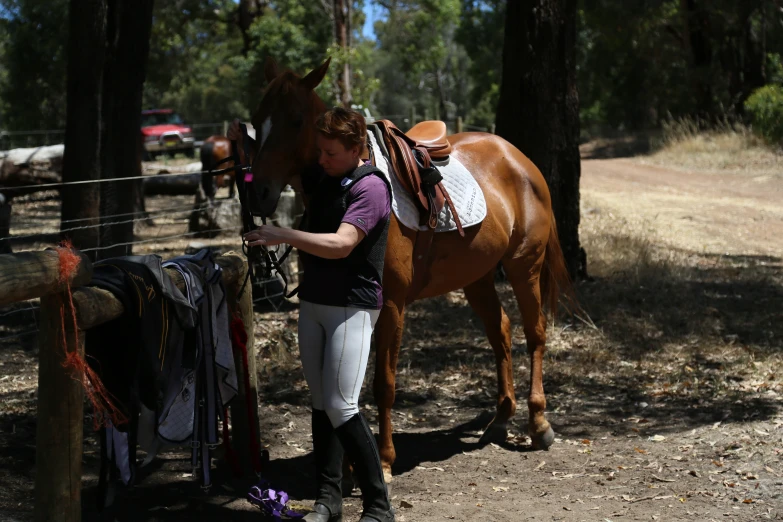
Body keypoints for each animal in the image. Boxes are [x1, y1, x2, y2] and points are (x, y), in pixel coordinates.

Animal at [248, 57, 572, 480]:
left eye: (296, 120)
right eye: (257, 119)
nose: (259, 193)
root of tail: (519, 159)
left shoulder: (390, 306)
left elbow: (383, 383)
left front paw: (384, 460)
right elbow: (348, 385)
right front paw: (353, 464)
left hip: (524, 267)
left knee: (534, 333)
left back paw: (539, 423)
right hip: (477, 276)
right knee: (499, 331)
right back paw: (501, 418)